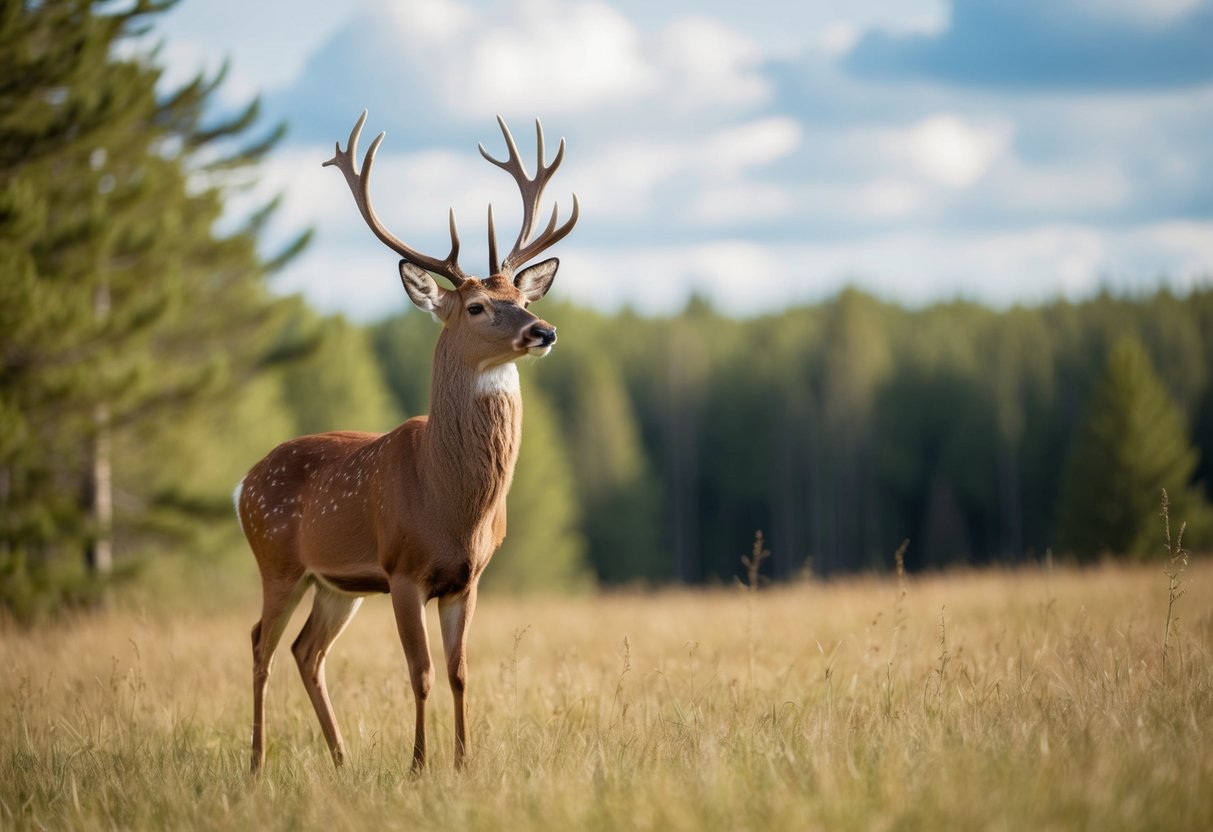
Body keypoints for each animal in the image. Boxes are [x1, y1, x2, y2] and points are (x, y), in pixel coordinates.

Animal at [234, 110, 579, 775]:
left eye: (523, 298)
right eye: (476, 306)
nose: (544, 330)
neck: (449, 502)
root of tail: (242, 481)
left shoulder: (468, 577)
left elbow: (460, 673)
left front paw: (463, 762)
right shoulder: (401, 569)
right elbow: (419, 673)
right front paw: (418, 765)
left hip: (334, 584)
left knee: (306, 650)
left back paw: (342, 759)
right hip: (277, 559)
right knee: (261, 642)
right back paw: (258, 762)